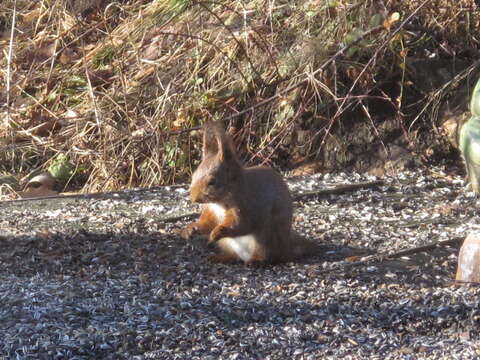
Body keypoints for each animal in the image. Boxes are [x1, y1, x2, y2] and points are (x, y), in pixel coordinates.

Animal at [182, 121, 316, 264]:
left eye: (212, 182)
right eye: (194, 175)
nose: (193, 198)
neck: (218, 202)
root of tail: (286, 249)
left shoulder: (245, 205)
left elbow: (240, 224)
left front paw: (217, 232)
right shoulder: (211, 211)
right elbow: (207, 223)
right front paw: (191, 229)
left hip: (267, 236)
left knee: (268, 256)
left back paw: (255, 261)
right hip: (227, 244)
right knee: (234, 256)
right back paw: (220, 257)